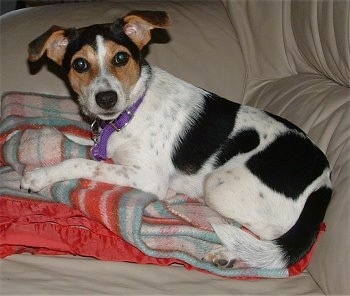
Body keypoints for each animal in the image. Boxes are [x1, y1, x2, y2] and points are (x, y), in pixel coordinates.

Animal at [21, 10, 330, 270]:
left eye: (121, 58)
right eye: (80, 64)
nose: (106, 98)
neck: (131, 111)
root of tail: (324, 178)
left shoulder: (146, 178)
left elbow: (79, 163)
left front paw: (39, 175)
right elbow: (81, 142)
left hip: (219, 184)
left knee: (275, 239)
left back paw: (229, 253)